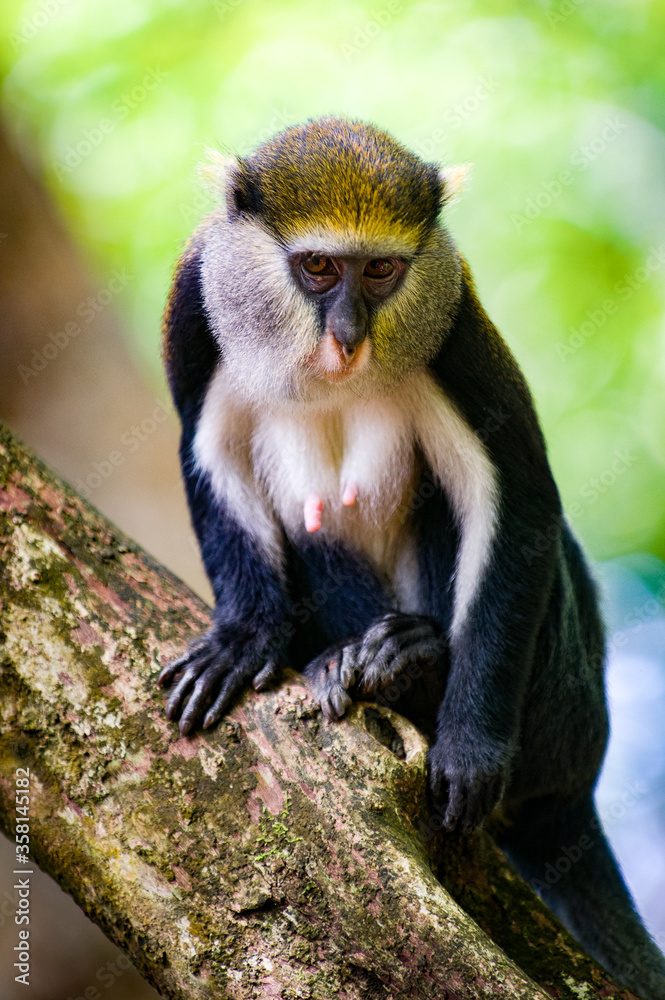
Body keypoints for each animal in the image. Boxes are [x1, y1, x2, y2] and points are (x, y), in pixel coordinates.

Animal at [158, 116, 665, 999]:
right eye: (318, 268)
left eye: (382, 271)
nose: (348, 336)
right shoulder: (195, 309)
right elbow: (207, 454)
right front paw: (241, 640)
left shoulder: (453, 318)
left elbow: (518, 500)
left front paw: (467, 743)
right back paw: (351, 660)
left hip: (565, 716)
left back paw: (416, 665)